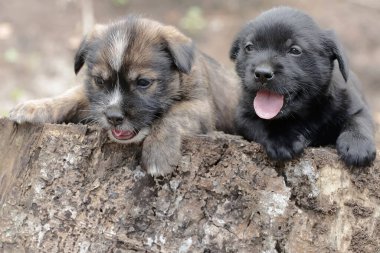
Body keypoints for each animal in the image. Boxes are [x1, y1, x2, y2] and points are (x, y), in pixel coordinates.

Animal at [8, 16, 239, 176]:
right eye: (99, 81)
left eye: (143, 82)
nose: (113, 117)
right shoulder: (92, 99)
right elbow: (70, 95)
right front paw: (34, 107)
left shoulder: (202, 107)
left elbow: (174, 115)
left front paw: (159, 153)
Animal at [230, 6, 376, 166]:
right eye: (249, 47)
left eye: (295, 50)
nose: (262, 73)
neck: (304, 112)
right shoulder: (243, 115)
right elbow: (262, 124)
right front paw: (282, 140)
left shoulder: (356, 106)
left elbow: (358, 121)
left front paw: (357, 145)